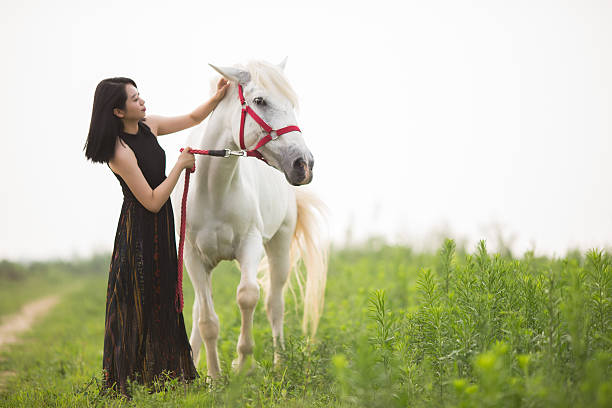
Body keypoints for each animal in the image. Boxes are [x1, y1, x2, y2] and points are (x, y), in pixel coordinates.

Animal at [170, 58, 328, 380]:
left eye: (291, 103)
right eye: (260, 101)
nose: (304, 164)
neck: (214, 190)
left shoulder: (250, 246)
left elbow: (247, 296)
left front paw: (242, 363)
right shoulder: (192, 257)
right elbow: (207, 320)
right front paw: (214, 378)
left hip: (279, 245)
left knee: (274, 304)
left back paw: (280, 363)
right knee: (198, 311)